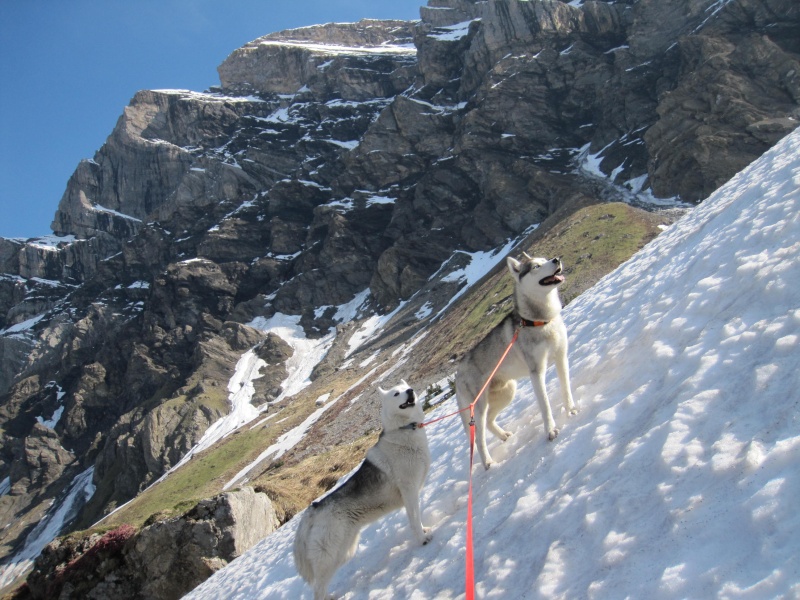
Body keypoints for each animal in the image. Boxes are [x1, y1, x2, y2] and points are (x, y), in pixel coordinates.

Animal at [294, 382, 432, 596]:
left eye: (407, 388)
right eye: (396, 393)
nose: (410, 392)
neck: (404, 430)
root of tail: (314, 508)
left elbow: (418, 520)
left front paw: (424, 530)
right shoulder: (409, 492)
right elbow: (414, 521)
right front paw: (422, 540)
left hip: (345, 551)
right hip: (330, 555)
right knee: (318, 589)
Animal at [456, 253, 576, 468]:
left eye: (545, 258)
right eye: (536, 266)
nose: (556, 259)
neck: (539, 321)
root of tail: (456, 374)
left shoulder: (561, 357)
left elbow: (566, 389)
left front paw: (571, 410)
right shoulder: (537, 372)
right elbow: (545, 405)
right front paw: (551, 431)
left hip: (507, 391)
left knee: (489, 422)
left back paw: (504, 435)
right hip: (478, 408)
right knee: (478, 438)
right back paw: (488, 463)